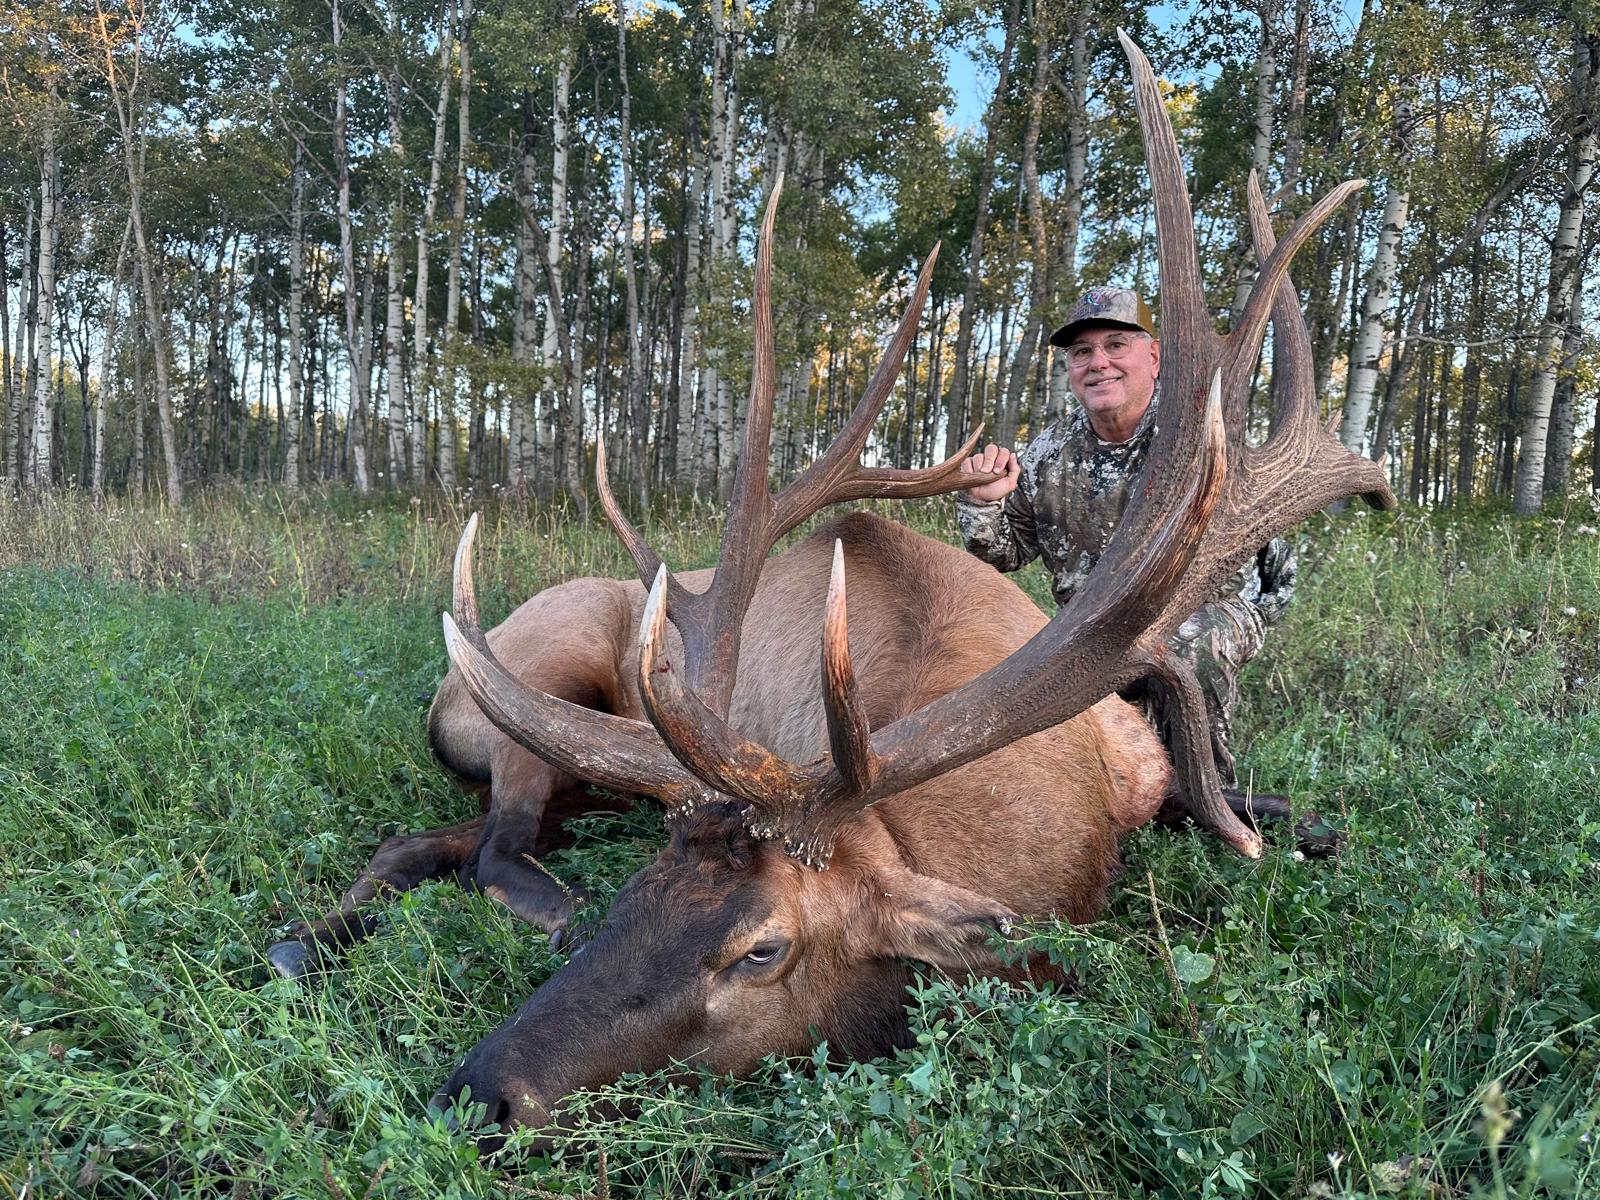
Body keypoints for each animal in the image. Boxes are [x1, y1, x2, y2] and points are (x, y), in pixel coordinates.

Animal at [267, 34, 1394, 1147]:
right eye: (641, 892)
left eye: (761, 948)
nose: (478, 1094)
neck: (1056, 822)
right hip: (554, 679)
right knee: (493, 839)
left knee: (445, 841)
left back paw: (307, 939)